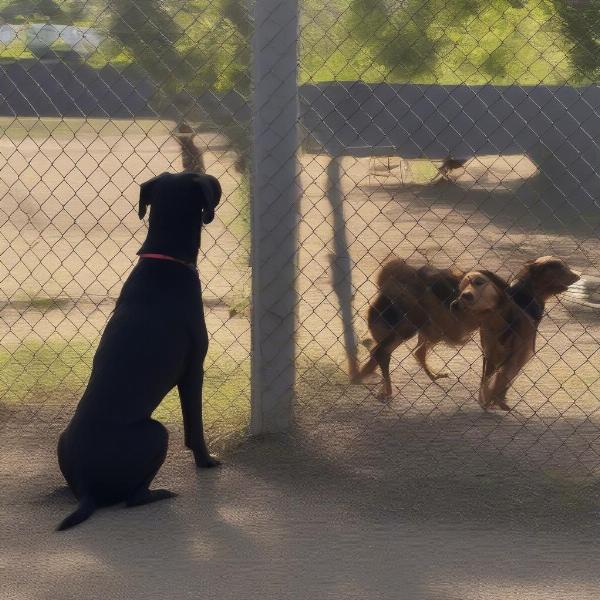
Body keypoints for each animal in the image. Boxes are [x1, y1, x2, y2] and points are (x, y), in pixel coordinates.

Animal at [56, 172, 223, 528]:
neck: (165, 257)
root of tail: (88, 487)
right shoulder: (193, 370)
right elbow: (195, 427)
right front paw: (206, 460)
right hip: (156, 432)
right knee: (134, 497)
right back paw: (160, 493)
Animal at [452, 255, 580, 410]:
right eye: (561, 267)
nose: (579, 275)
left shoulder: (494, 355)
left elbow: (492, 380)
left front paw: (491, 399)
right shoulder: (522, 353)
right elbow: (503, 380)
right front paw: (497, 399)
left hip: (493, 352)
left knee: (488, 379)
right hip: (515, 353)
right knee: (501, 378)